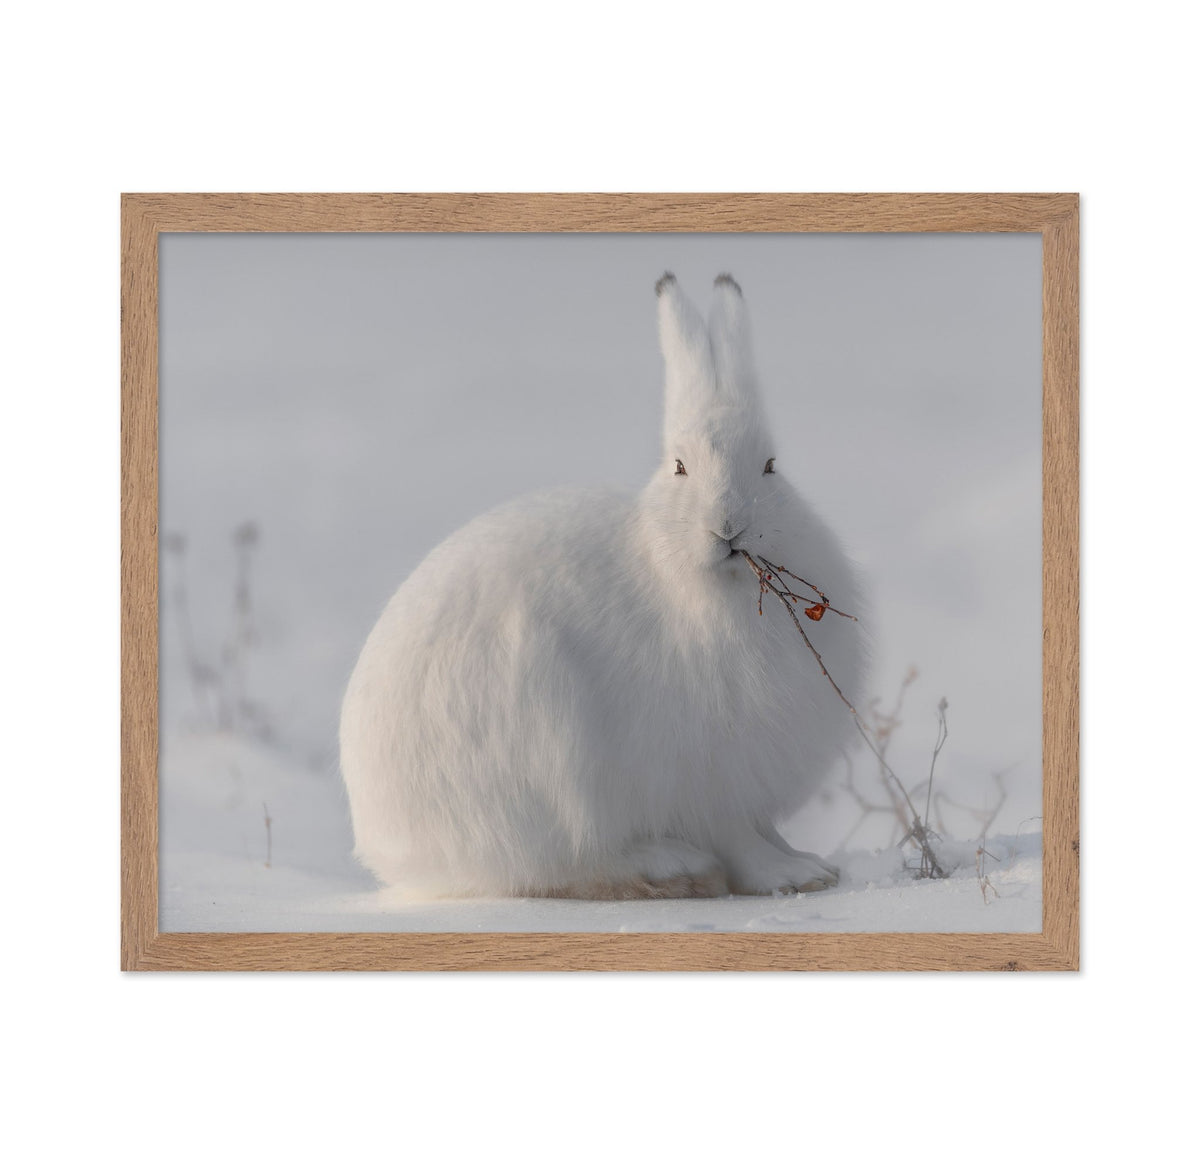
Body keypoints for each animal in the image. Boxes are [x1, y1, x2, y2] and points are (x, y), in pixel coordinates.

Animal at [339, 272, 868, 899]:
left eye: (770, 466)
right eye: (680, 467)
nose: (729, 526)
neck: (700, 584)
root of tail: (387, 846)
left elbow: (765, 831)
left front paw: (813, 865)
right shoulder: (708, 778)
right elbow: (740, 841)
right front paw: (789, 876)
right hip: (546, 754)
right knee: (564, 863)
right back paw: (672, 864)